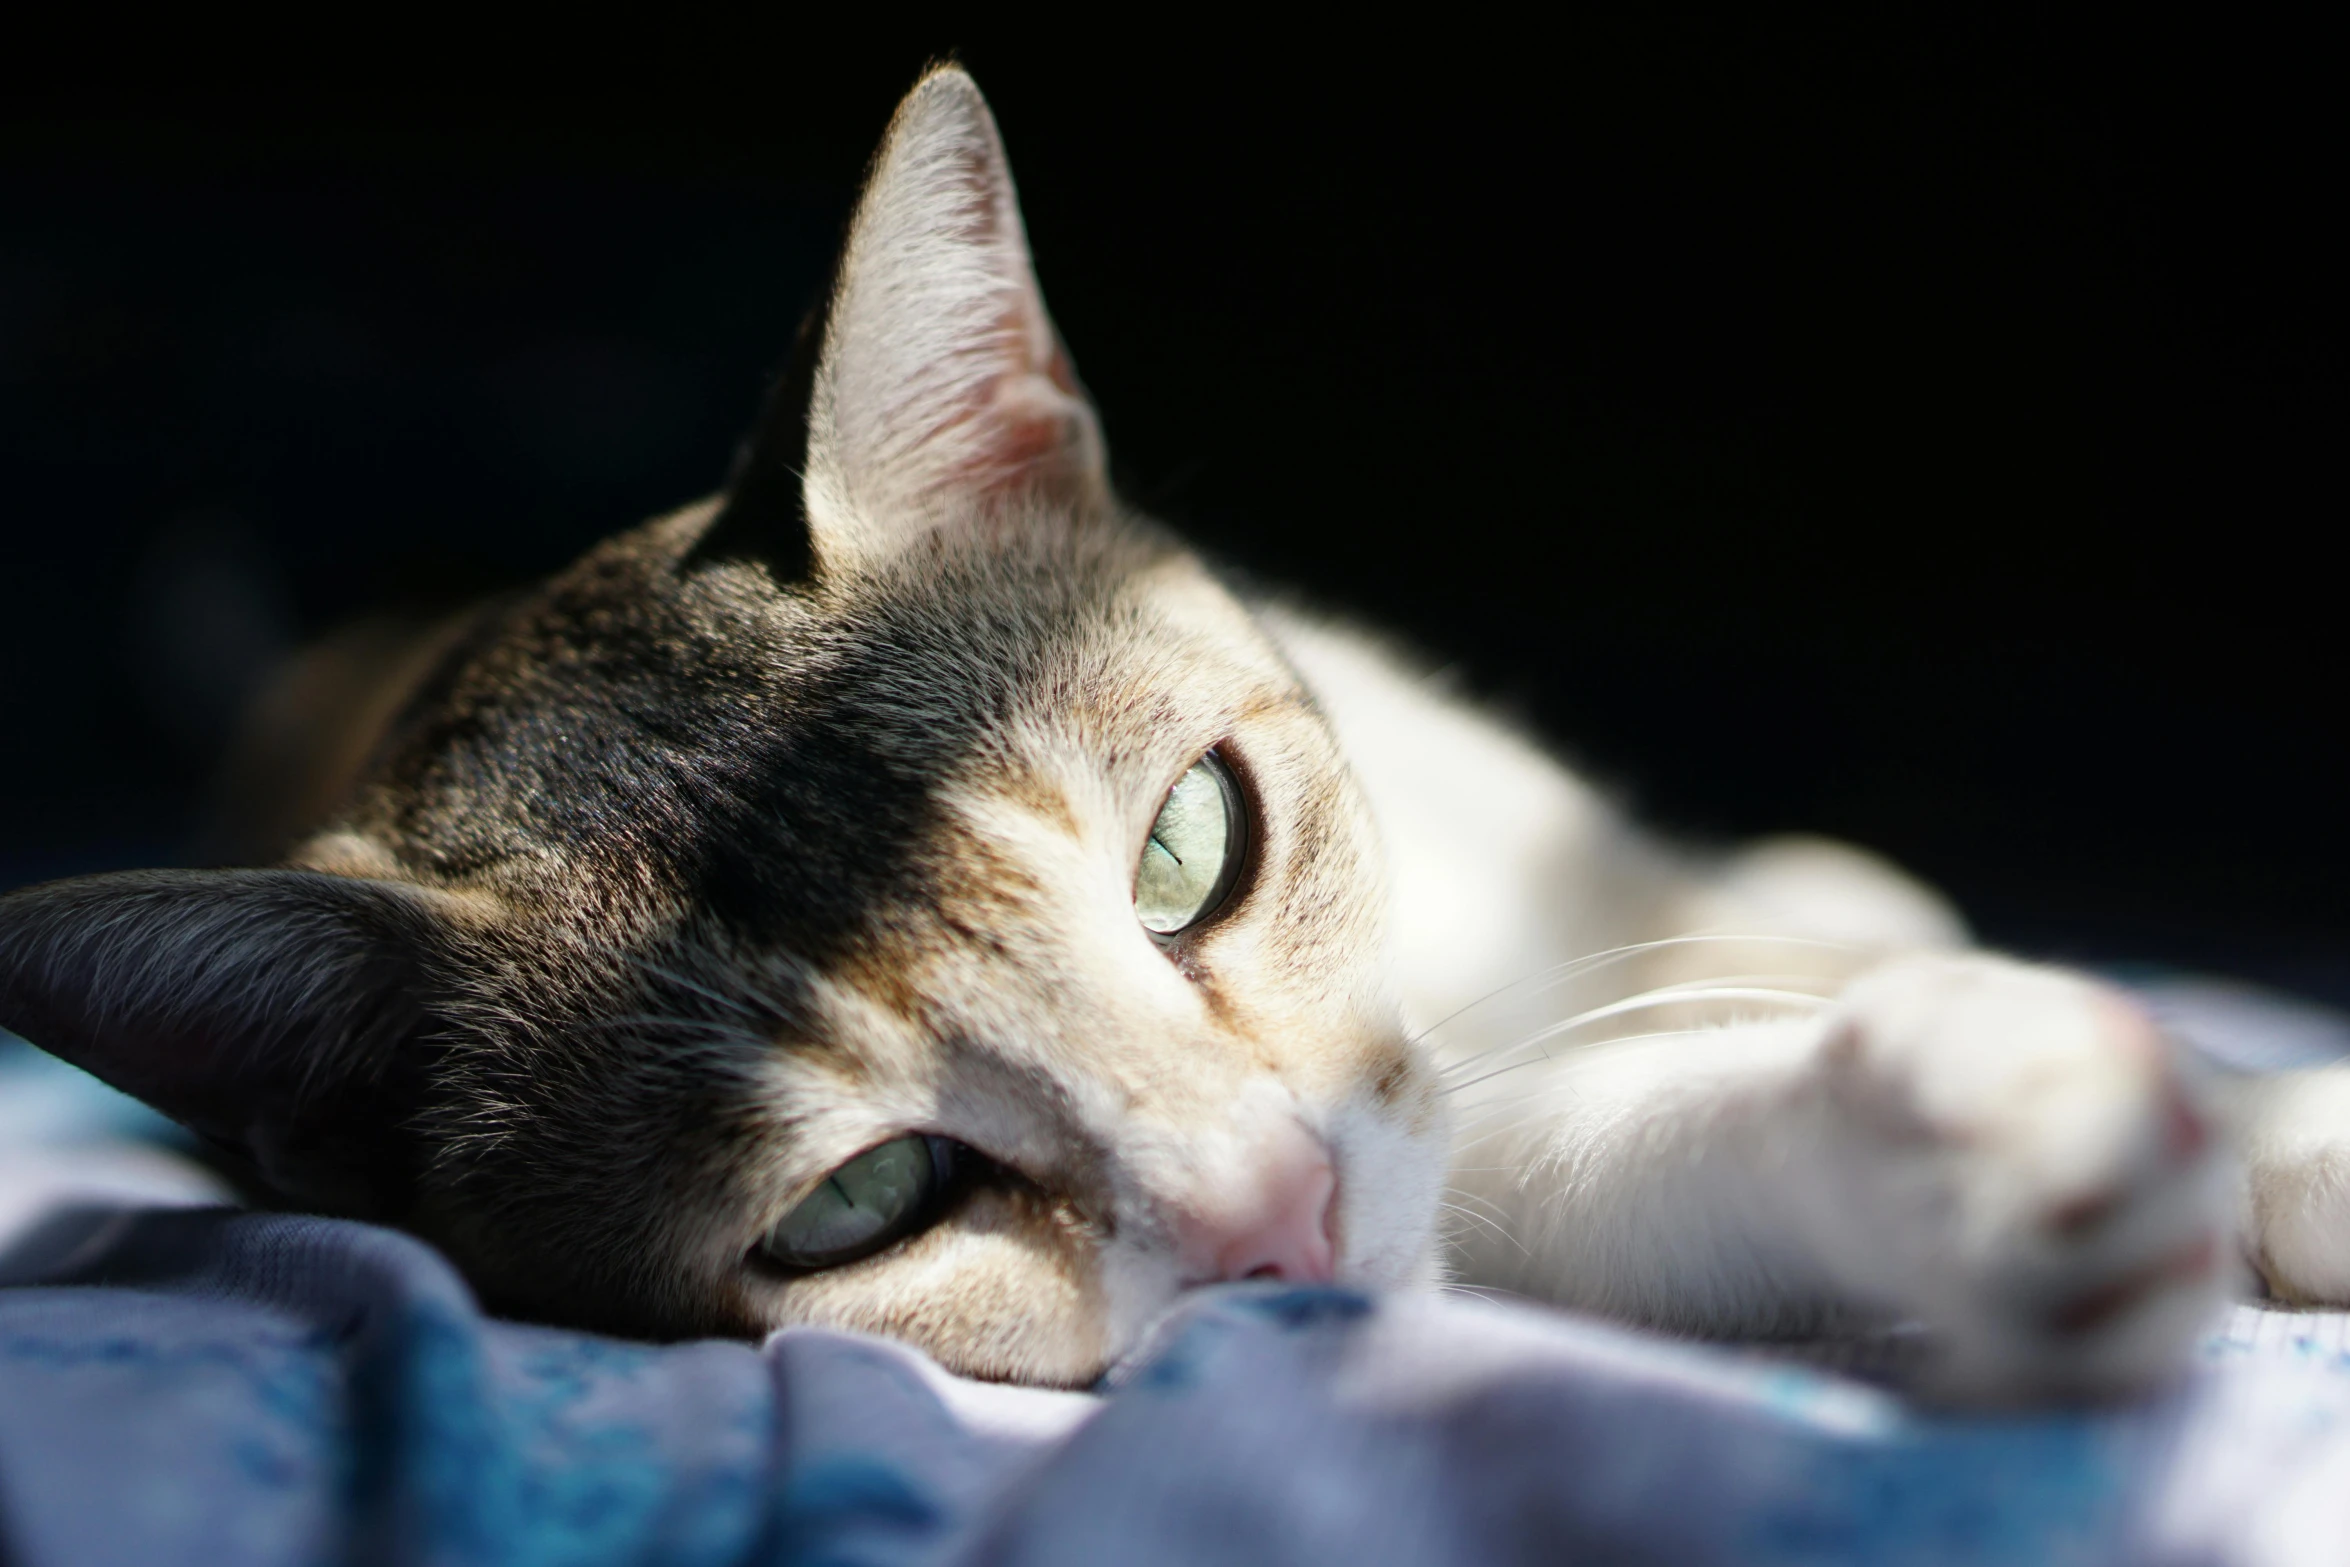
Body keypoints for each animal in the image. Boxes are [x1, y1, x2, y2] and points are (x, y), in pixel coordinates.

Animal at [4, 67, 2350, 1400]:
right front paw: (2015, 1139)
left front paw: (2248, 1104)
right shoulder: (1465, 1185)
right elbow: (1612, 1149)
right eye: (863, 1200)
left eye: (1184, 845)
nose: (1274, 1208)